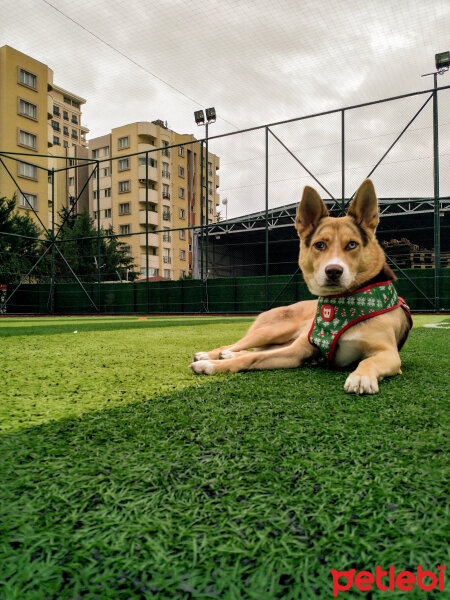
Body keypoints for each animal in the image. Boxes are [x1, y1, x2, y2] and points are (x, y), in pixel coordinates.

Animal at [189, 180, 412, 396]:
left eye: (352, 245)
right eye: (319, 245)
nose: (333, 271)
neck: (341, 305)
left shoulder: (389, 353)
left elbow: (369, 360)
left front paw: (361, 376)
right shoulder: (298, 351)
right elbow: (249, 360)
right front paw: (209, 365)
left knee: (255, 351)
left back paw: (224, 355)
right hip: (272, 331)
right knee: (240, 346)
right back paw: (209, 355)